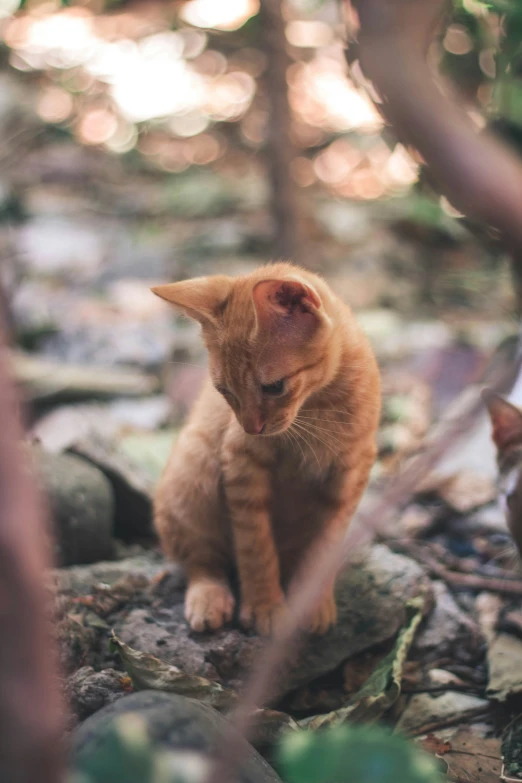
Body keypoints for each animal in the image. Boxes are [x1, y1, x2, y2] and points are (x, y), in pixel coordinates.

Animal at [150, 264, 378, 636]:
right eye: (224, 391)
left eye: (273, 387)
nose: (250, 427)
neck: (317, 406)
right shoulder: (241, 464)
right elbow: (255, 546)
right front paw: (264, 606)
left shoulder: (352, 471)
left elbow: (324, 546)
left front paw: (311, 601)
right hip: (193, 471)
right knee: (201, 559)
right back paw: (209, 597)